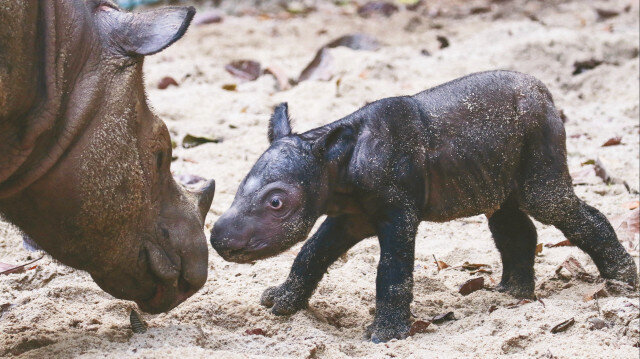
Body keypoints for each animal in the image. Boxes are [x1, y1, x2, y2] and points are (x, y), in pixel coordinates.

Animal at [212, 70, 636, 344]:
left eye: (276, 202)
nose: (218, 239)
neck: (334, 163)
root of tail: (547, 93)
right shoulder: (349, 214)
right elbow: (311, 254)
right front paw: (281, 304)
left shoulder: (397, 212)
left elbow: (392, 270)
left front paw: (385, 336)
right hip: (497, 165)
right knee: (508, 218)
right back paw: (511, 296)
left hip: (540, 136)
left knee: (550, 203)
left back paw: (622, 281)